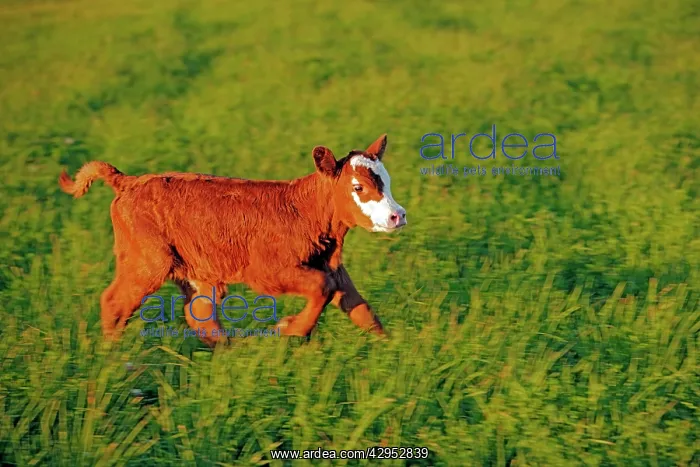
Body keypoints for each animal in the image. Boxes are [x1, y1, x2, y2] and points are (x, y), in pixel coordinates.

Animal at [58, 134, 407, 346]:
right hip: (147, 262)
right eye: (358, 187)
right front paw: (289, 329)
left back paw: (230, 353)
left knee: (199, 313)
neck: (303, 210)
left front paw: (392, 351)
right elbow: (323, 287)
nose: (398, 215)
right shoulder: (266, 272)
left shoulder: (333, 267)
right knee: (114, 302)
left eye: (387, 181)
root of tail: (128, 181)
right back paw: (114, 360)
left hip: (198, 272)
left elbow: (360, 309)